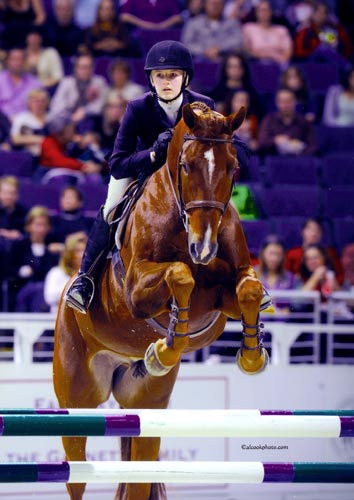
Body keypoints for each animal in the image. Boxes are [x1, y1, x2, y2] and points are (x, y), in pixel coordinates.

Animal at [53, 102, 268, 500]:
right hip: (77, 397)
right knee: (76, 472)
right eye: (186, 166)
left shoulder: (224, 296)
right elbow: (180, 275)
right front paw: (165, 349)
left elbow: (248, 291)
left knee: (139, 476)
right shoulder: (137, 290)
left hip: (148, 406)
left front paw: (251, 356)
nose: (204, 246)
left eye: (232, 166)